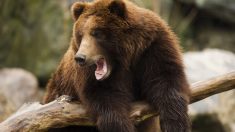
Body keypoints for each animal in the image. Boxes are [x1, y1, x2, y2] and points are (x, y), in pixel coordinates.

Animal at [44, 0, 191, 132]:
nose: (80, 58)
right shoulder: (89, 77)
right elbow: (106, 99)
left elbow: (165, 78)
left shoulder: (152, 48)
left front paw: (175, 124)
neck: (126, 58)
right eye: (80, 34)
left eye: (97, 33)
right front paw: (122, 126)